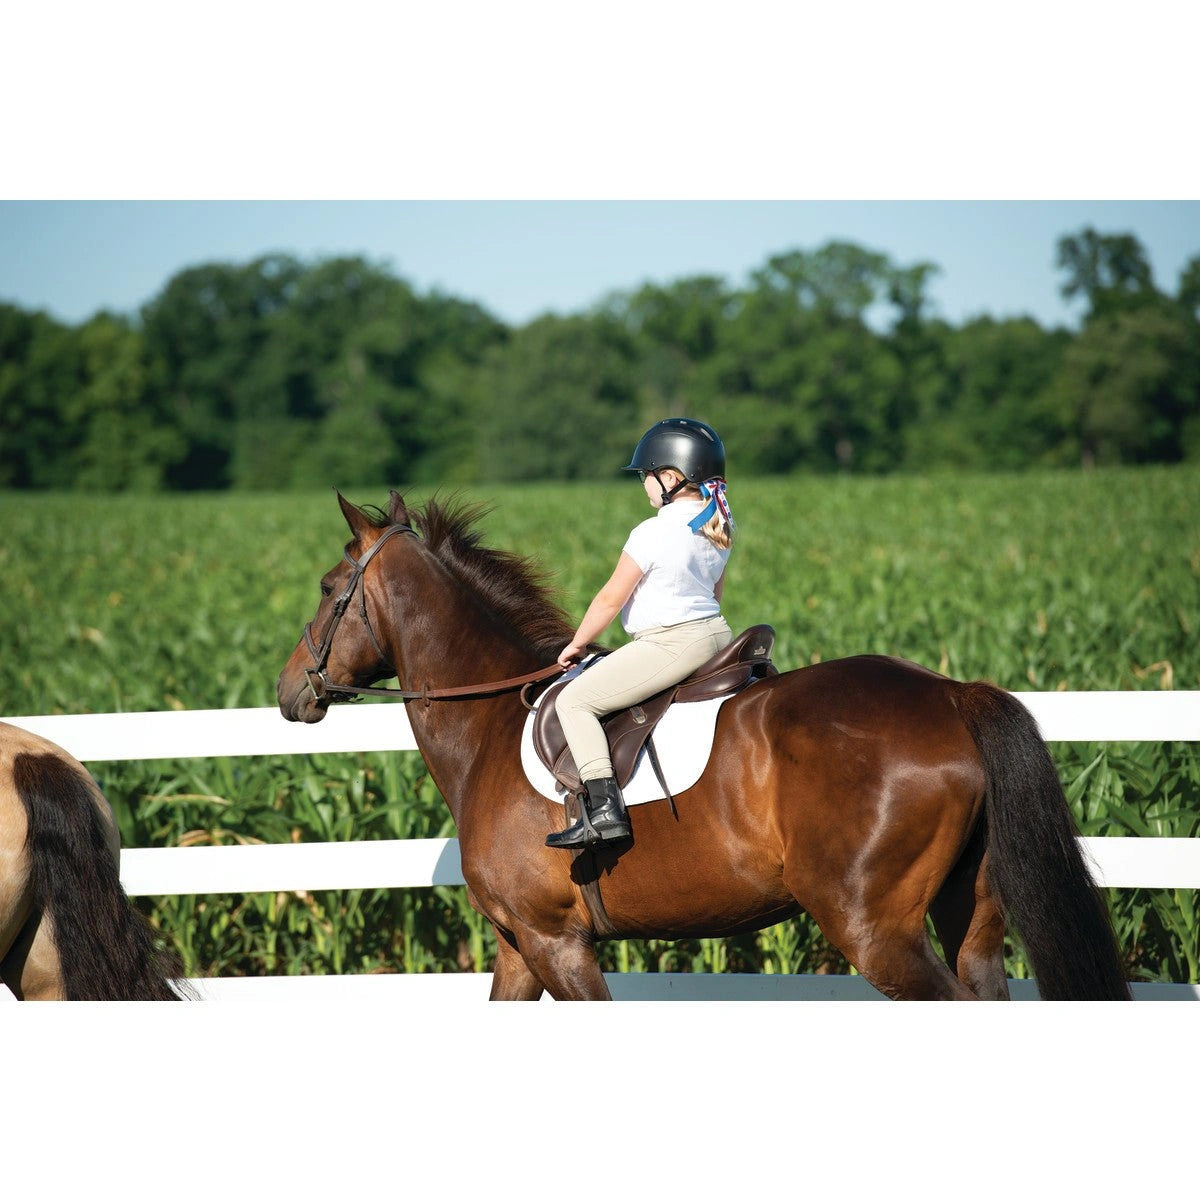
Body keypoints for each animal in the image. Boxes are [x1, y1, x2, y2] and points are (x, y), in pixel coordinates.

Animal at [276, 490, 1131, 1001]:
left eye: (326, 588)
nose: (290, 692)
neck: (488, 723)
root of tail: (951, 693)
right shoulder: (520, 945)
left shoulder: (558, 942)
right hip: (971, 918)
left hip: (874, 929)